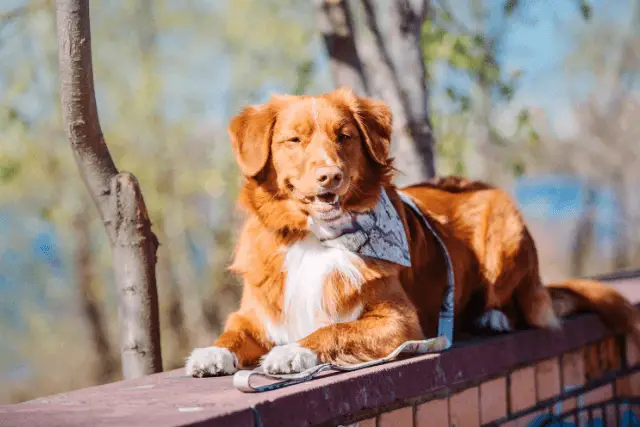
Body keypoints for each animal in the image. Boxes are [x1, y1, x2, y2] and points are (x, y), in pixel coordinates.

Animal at [185, 87, 640, 378]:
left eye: (344, 137)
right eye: (293, 140)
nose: (330, 176)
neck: (315, 239)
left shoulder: (401, 323)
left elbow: (334, 329)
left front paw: (292, 352)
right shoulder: (255, 312)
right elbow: (233, 331)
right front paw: (212, 353)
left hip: (504, 226)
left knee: (511, 302)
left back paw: (490, 316)